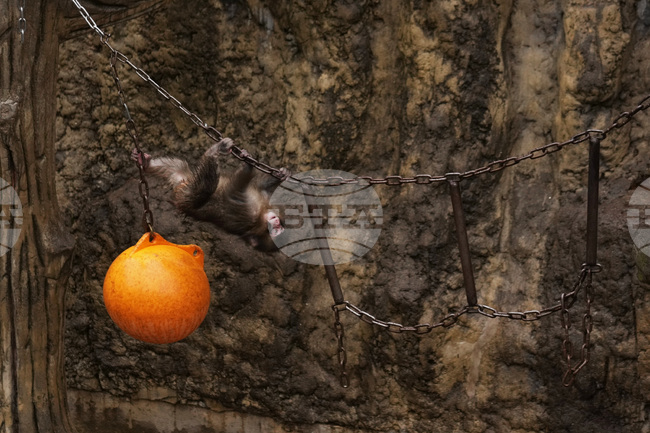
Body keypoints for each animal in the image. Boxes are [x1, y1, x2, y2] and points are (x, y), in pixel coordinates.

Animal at [132, 138, 289, 252]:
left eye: (277, 231)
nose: (277, 222)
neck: (262, 214)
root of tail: (181, 185)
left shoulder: (250, 214)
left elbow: (234, 191)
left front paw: (248, 166)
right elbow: (262, 186)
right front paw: (281, 175)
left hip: (187, 195)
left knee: (204, 188)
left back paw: (213, 152)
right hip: (186, 179)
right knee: (177, 166)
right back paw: (145, 162)